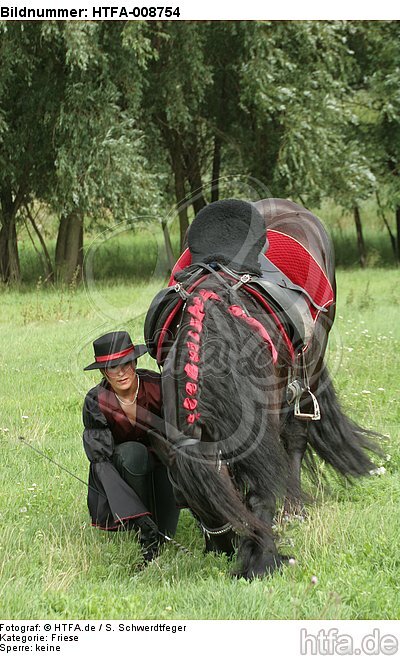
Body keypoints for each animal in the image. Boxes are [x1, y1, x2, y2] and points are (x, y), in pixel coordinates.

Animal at [145, 198, 381, 579]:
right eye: (182, 500)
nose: (221, 549)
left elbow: (262, 483)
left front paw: (261, 557)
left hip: (312, 364)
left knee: (296, 437)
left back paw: (295, 507)